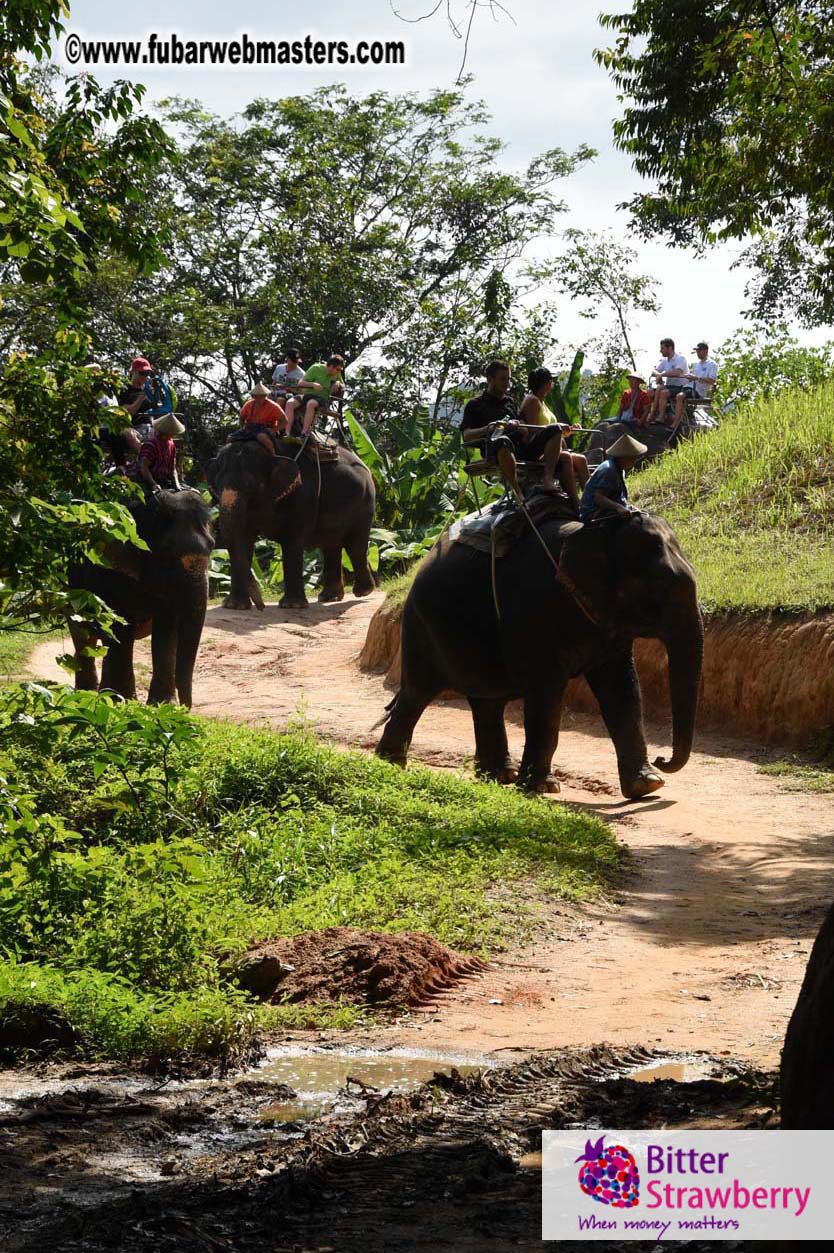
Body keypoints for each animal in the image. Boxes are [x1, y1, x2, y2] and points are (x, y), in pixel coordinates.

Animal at [68, 490, 214, 706]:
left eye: (212, 546)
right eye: (167, 553)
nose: (187, 708)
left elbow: (167, 629)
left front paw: (162, 704)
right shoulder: (109, 571)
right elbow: (121, 625)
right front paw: (125, 702)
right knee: (83, 636)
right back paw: (86, 694)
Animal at [205, 439, 376, 610]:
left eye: (250, 488)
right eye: (216, 488)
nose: (261, 606)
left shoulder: (302, 495)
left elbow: (292, 540)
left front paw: (292, 605)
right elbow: (244, 539)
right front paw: (234, 606)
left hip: (364, 503)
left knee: (355, 546)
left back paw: (363, 592)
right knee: (331, 546)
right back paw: (330, 597)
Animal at [376, 510, 703, 799]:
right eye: (660, 584)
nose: (663, 759)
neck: (596, 531)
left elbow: (622, 690)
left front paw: (647, 786)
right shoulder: (534, 612)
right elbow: (546, 695)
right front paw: (541, 788)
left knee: (486, 701)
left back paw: (498, 776)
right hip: (421, 625)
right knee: (418, 692)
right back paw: (390, 764)